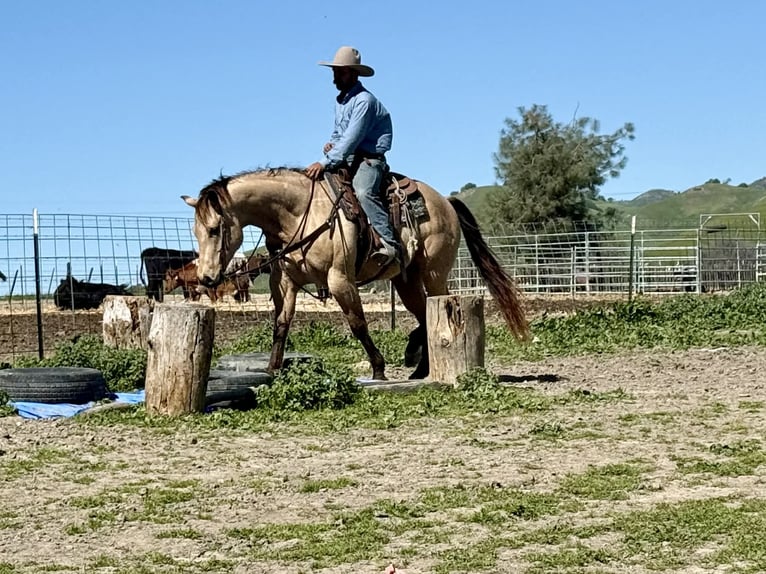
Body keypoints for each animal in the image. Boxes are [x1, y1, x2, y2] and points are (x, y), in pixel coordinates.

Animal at [182, 168, 528, 380]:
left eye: (214, 229)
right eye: (195, 231)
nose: (207, 279)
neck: (300, 213)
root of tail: (445, 201)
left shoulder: (339, 279)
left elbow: (358, 324)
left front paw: (378, 369)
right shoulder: (285, 283)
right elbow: (281, 326)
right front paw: (271, 369)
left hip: (433, 273)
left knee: (435, 311)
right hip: (406, 280)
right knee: (422, 315)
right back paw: (418, 367)